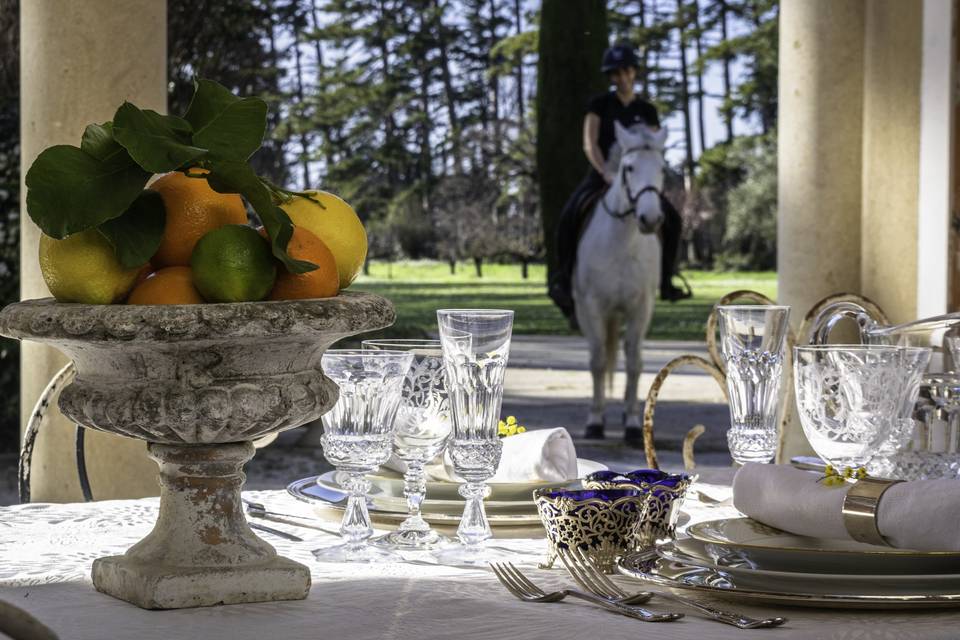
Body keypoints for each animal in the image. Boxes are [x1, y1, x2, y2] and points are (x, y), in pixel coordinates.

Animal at [568, 121, 668, 436]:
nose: (650, 218)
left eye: (662, 168)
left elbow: (634, 363)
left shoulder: (642, 308)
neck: (622, 242)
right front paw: (595, 420)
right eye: (629, 168)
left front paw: (634, 423)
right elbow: (599, 362)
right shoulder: (593, 307)